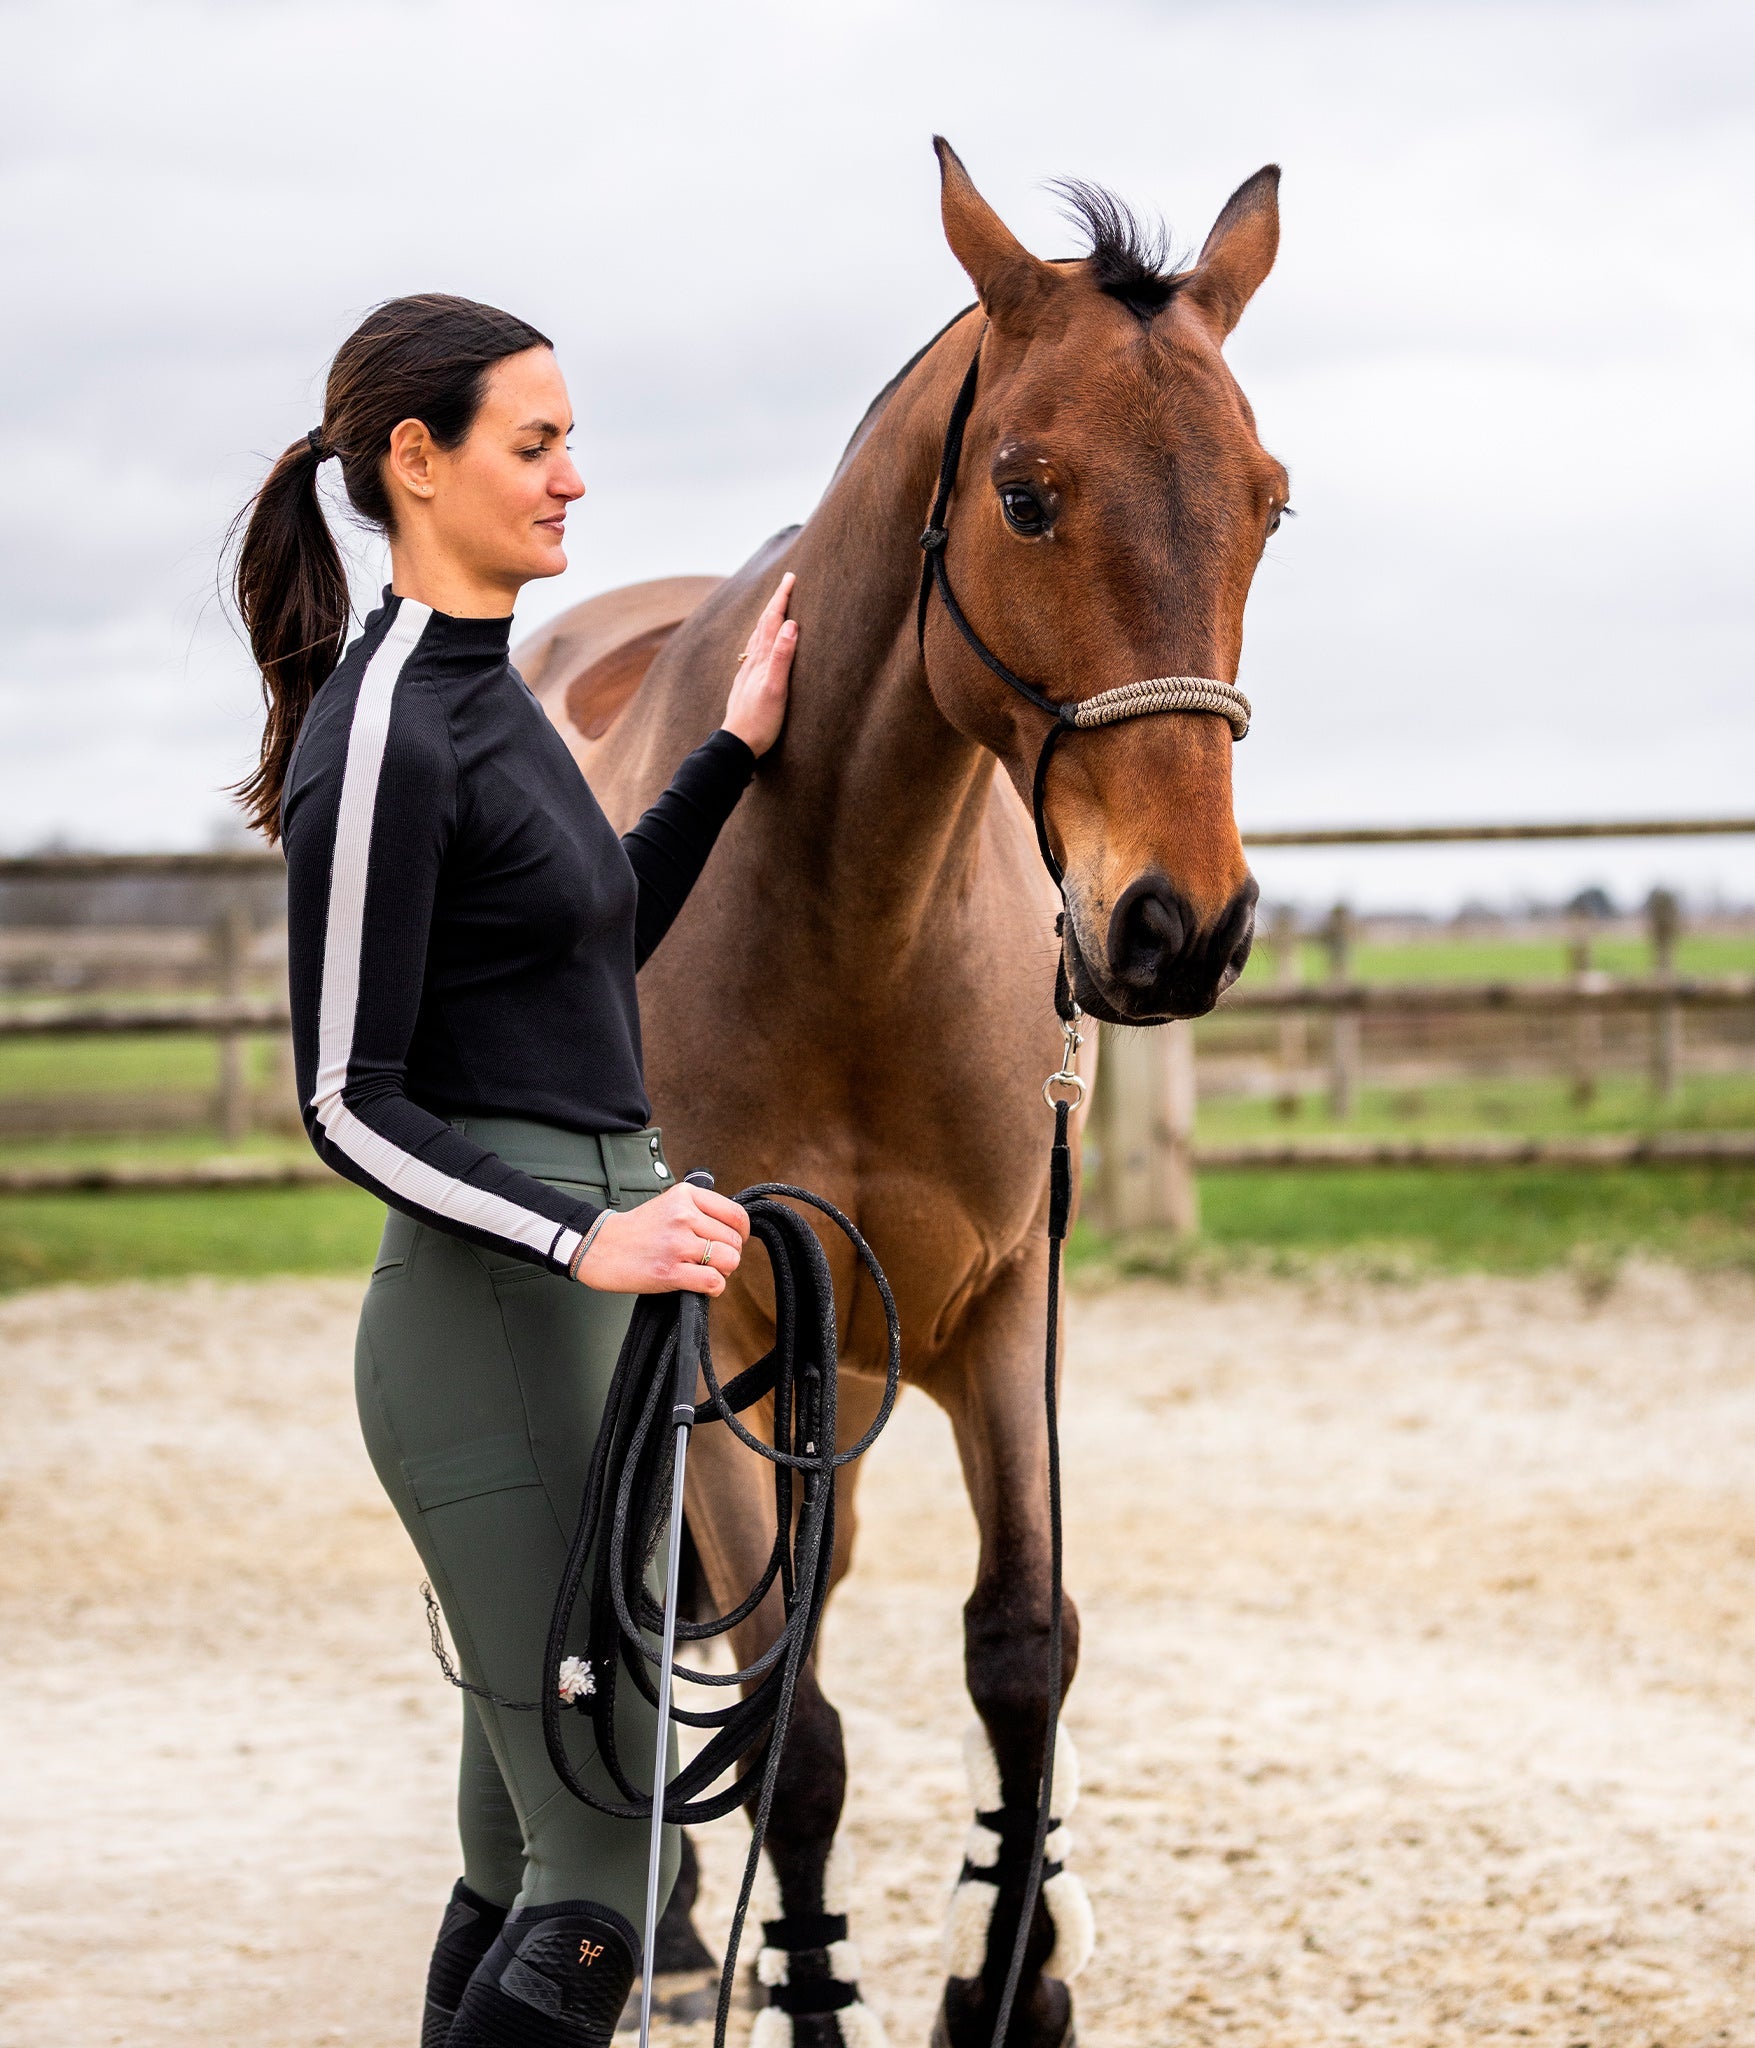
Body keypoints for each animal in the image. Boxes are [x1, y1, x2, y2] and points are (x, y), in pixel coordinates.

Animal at [516, 138, 1285, 2048]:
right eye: (1024, 496)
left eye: (1268, 502)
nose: (1180, 925)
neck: (848, 916)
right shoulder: (711, 1328)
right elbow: (784, 1721)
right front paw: (813, 1989)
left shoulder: (1002, 1306)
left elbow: (1021, 1644)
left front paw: (1012, 1976)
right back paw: (668, 1935)